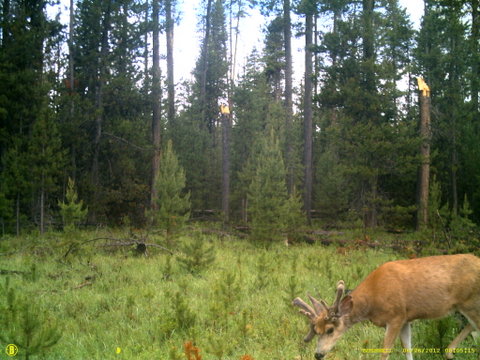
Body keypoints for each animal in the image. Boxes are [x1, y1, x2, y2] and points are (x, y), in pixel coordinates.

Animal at [290, 255, 480, 358]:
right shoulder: (406, 319)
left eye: (330, 330)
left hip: (471, 302)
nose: (318, 354)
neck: (372, 301)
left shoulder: (396, 316)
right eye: (316, 331)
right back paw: (449, 352)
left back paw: (449, 351)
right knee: (472, 326)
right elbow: (408, 350)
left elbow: (385, 351)